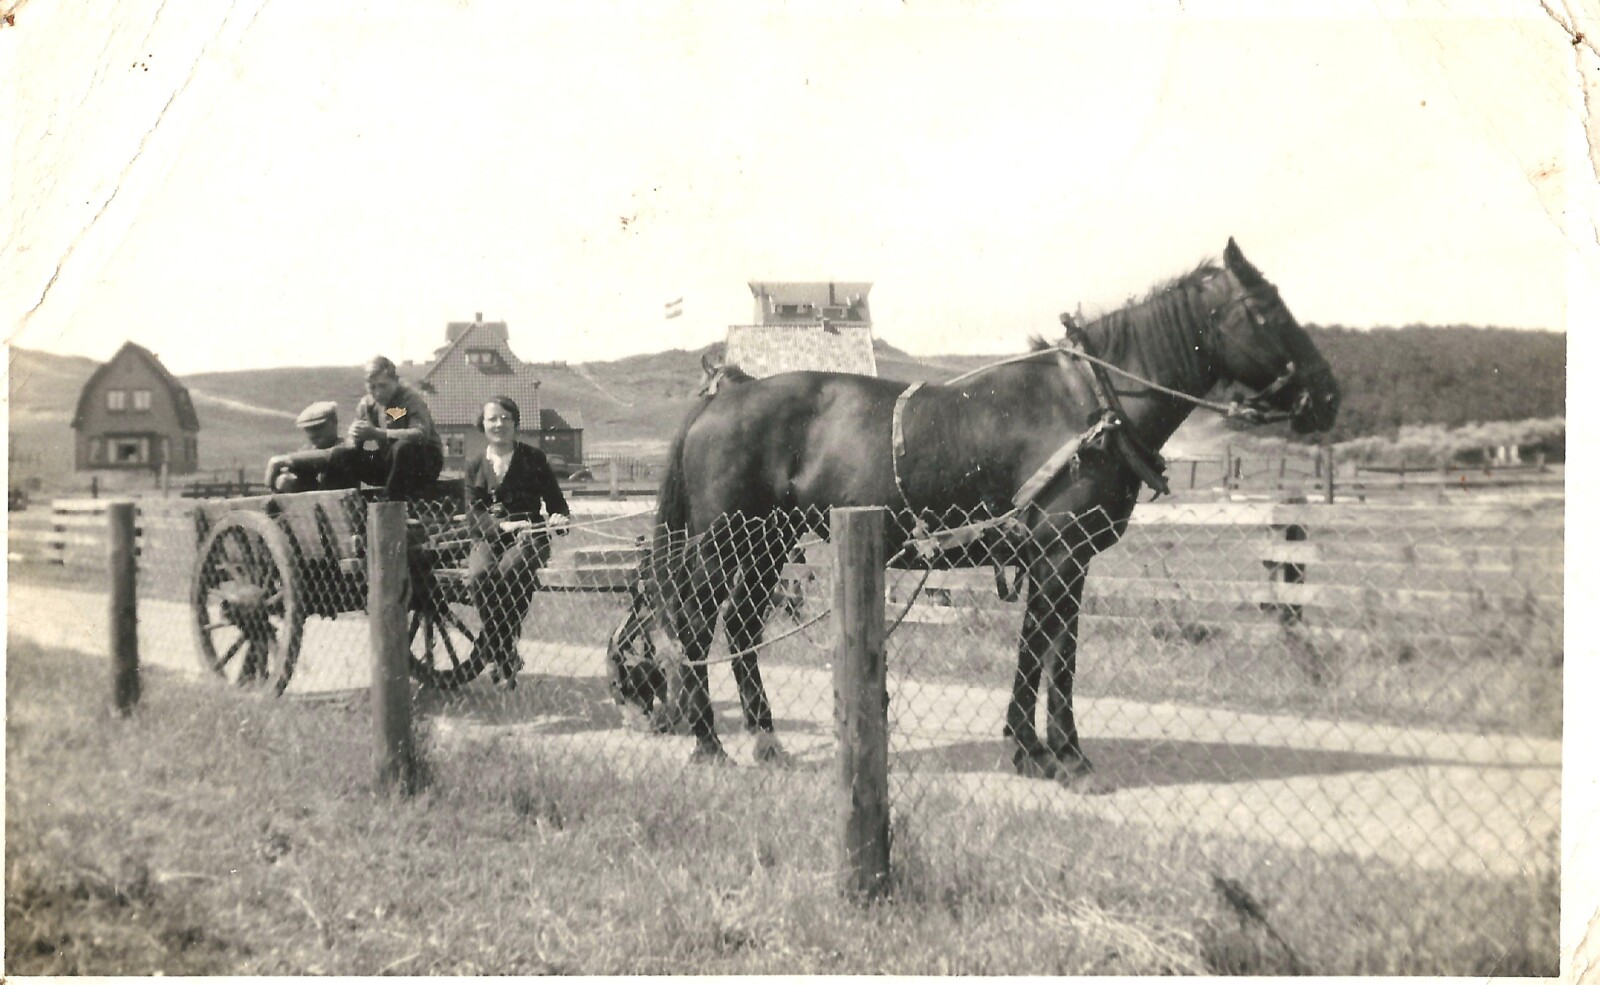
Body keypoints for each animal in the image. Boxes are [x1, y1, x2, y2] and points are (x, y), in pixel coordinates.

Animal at [608, 239, 1337, 783]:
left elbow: (1053, 654)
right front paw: (1047, 753)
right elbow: (1045, 653)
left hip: (769, 543)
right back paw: (710, 743)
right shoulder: (1058, 555)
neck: (1089, 404)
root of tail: (726, 392)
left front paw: (1047, 749)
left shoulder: (1065, 561)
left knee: (741, 627)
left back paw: (765, 740)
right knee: (696, 626)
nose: (1328, 394)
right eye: (1266, 310)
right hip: (722, 540)